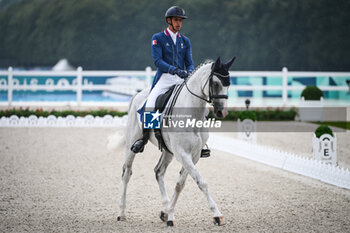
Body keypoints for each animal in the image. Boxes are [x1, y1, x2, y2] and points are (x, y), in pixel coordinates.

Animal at [117, 56, 235, 226]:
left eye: (228, 84)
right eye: (215, 83)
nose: (222, 112)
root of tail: (138, 95)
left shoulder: (194, 155)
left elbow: (180, 184)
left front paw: (169, 214)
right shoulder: (183, 154)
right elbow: (201, 182)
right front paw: (217, 215)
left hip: (168, 151)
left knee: (159, 172)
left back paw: (164, 210)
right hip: (131, 144)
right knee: (127, 172)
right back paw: (121, 213)